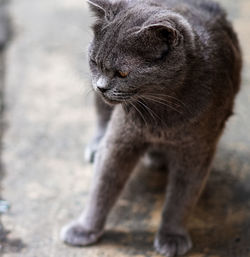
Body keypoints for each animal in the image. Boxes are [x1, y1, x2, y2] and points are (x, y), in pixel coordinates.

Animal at [59, 1, 241, 255]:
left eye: (123, 73)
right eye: (94, 62)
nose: (101, 86)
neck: (161, 113)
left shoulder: (197, 150)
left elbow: (182, 197)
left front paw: (172, 236)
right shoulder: (121, 140)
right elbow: (102, 186)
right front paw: (85, 229)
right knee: (102, 117)